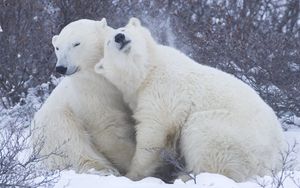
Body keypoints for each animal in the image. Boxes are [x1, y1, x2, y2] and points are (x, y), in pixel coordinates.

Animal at [31, 18, 135, 176]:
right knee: (71, 141)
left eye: (76, 43)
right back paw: (103, 169)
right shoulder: (91, 93)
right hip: (55, 123)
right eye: (58, 48)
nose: (61, 67)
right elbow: (109, 127)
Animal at [95, 18, 284, 182]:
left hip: (233, 135)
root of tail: (273, 162)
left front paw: (132, 174)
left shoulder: (164, 89)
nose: (119, 37)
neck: (148, 70)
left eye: (123, 29)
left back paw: (184, 176)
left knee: (204, 136)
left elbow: (154, 131)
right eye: (108, 42)